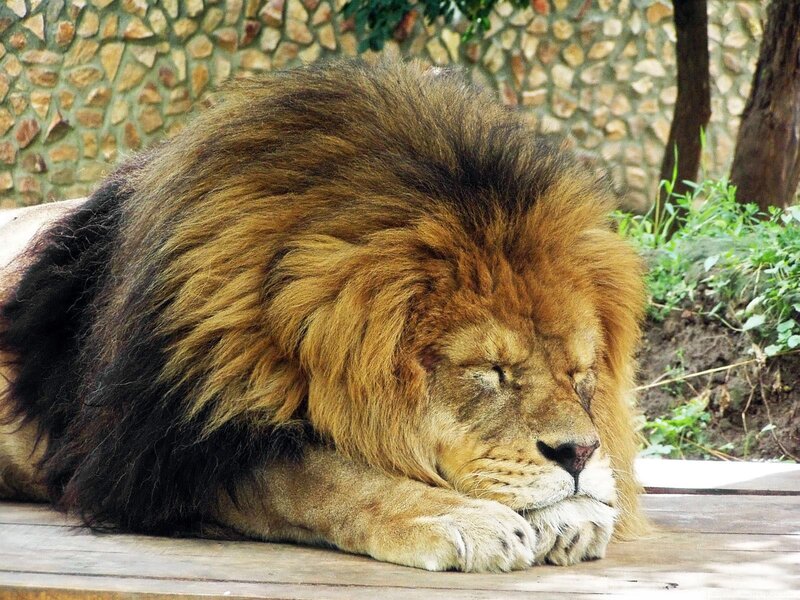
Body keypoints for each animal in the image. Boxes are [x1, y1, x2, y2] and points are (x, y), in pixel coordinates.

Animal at [0, 59, 647, 572]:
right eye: (490, 371)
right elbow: (321, 478)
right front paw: (462, 519)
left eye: (581, 374)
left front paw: (575, 510)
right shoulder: (163, 457)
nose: (578, 456)